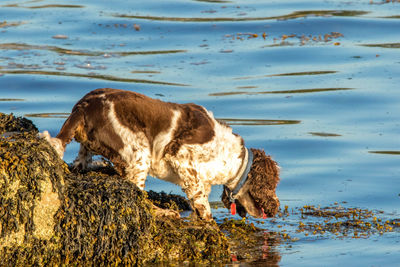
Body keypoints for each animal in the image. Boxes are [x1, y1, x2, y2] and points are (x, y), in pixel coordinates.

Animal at [39, 89, 278, 221]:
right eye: (272, 185)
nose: (276, 208)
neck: (231, 157)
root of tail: (83, 107)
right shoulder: (180, 154)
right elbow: (204, 206)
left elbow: (198, 200)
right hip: (139, 151)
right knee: (137, 194)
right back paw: (163, 212)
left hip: (93, 150)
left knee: (80, 163)